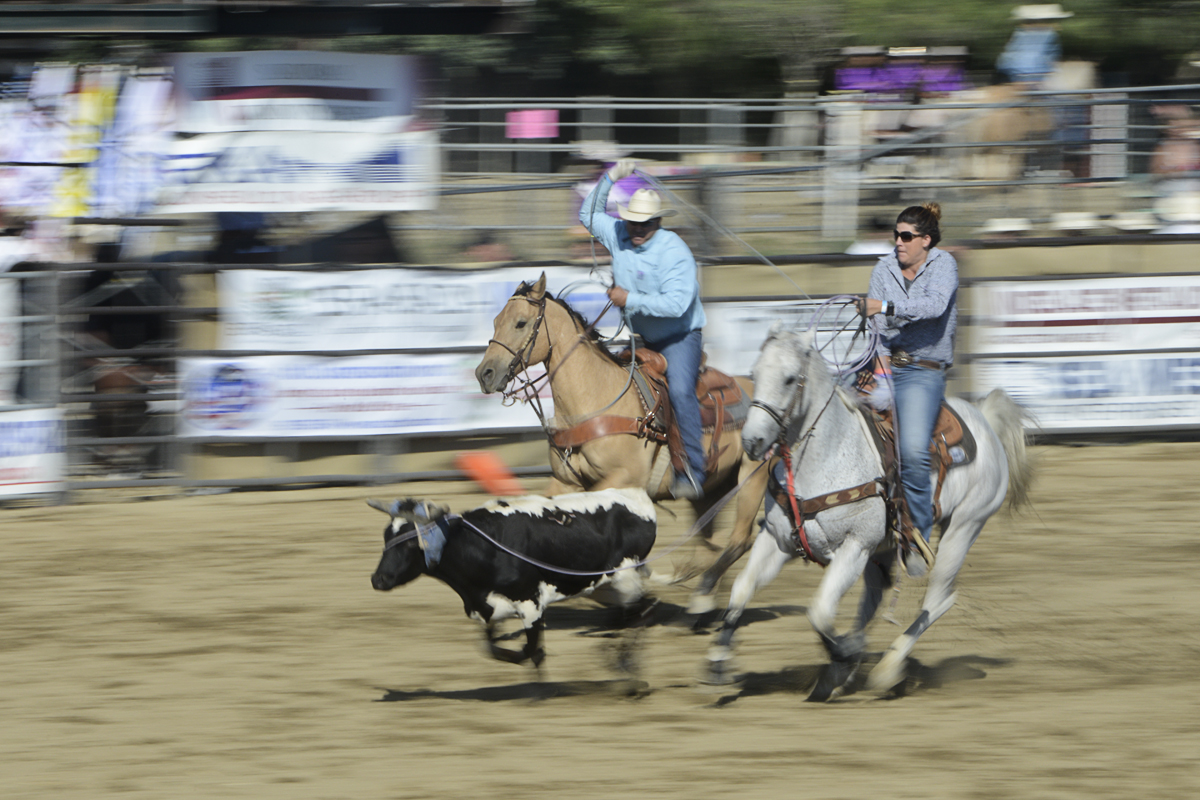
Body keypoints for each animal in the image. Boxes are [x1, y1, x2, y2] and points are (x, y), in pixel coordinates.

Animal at [372, 489, 662, 671]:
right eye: (385, 537)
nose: (378, 579)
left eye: (411, 544)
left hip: (625, 578)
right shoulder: (487, 607)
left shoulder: (530, 603)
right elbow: (492, 648)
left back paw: (628, 669)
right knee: (636, 613)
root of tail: (639, 497)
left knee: (643, 612)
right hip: (607, 584)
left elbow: (533, 651)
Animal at [470, 275, 768, 599]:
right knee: (711, 541)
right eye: (496, 321)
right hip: (713, 487)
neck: (594, 400)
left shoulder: (622, 480)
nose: (484, 374)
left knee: (741, 538)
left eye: (521, 323)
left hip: (753, 475)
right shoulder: (565, 481)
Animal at [705, 321, 1036, 695]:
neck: (824, 457)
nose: (752, 440)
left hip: (964, 527)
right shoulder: (778, 540)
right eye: (755, 373)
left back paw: (886, 669)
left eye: (790, 379)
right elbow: (742, 588)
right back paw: (850, 663)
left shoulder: (855, 545)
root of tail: (984, 420)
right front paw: (718, 661)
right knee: (875, 599)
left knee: (938, 598)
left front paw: (843, 657)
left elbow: (819, 611)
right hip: (884, 548)